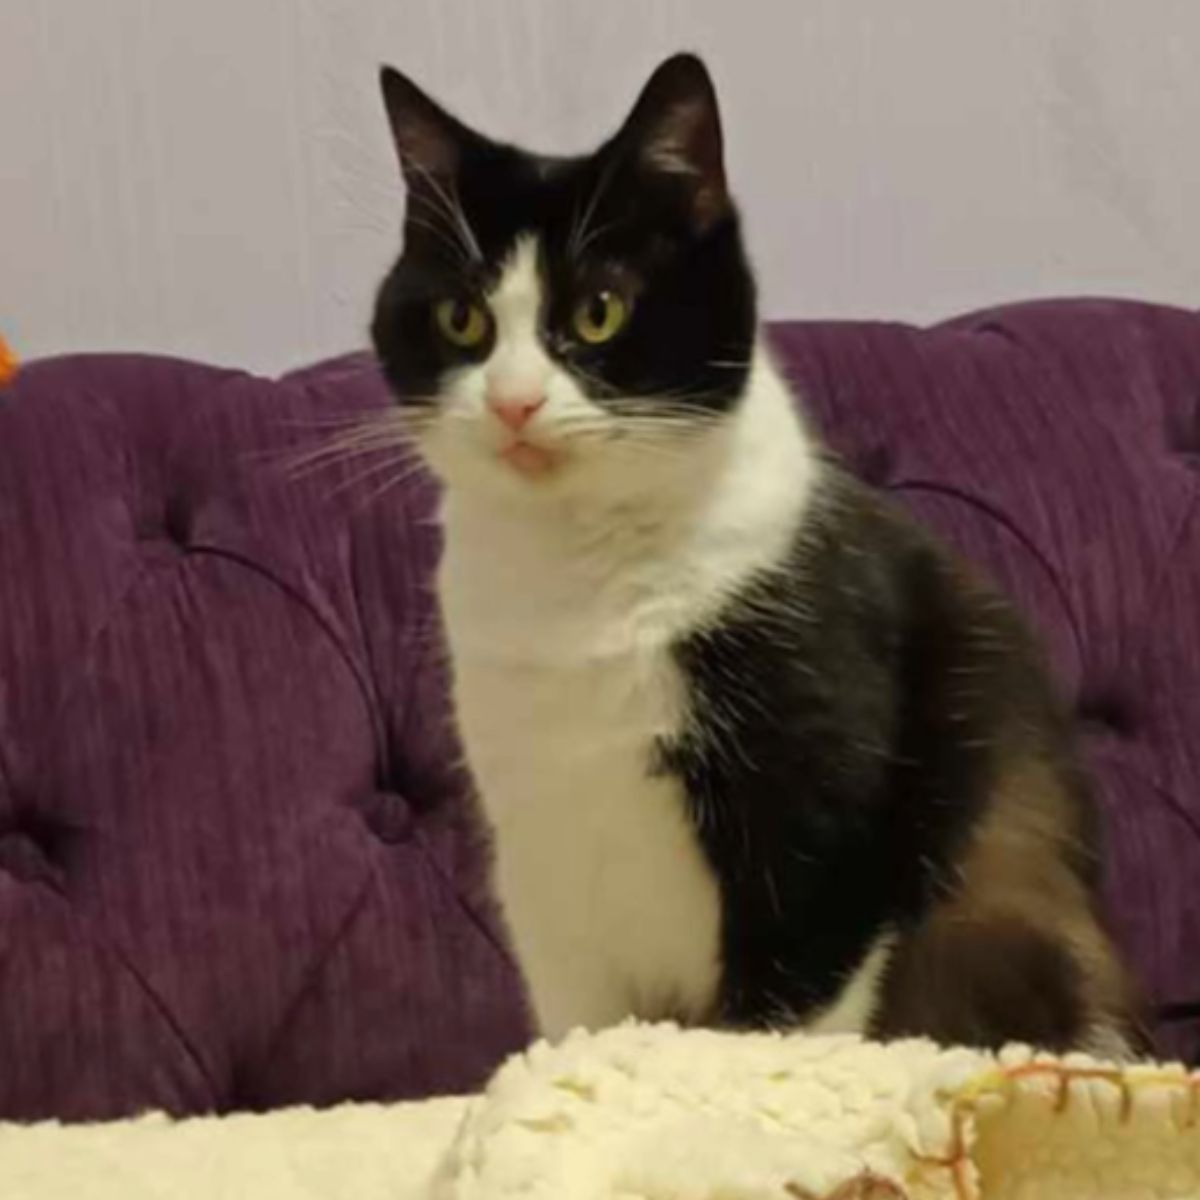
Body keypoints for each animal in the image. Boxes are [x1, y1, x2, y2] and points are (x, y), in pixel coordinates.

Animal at [372, 51, 1142, 1056]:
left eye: (600, 310)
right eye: (461, 319)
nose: (513, 404)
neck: (583, 571)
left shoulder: (821, 814)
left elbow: (781, 1022)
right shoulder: (539, 850)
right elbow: (579, 1020)